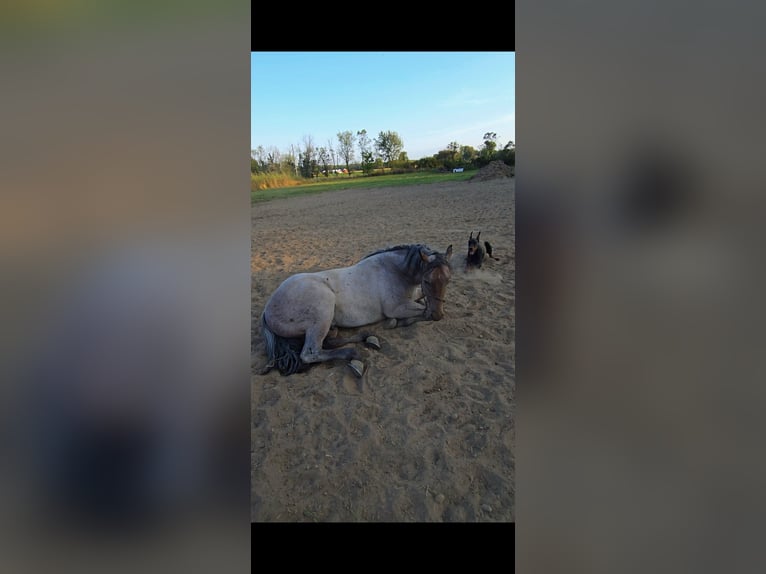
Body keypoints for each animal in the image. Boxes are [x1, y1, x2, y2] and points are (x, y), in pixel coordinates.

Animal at [260, 243, 452, 378]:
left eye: (448, 280)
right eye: (427, 281)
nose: (438, 314)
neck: (395, 271)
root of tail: (267, 310)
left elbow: (423, 307)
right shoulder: (397, 308)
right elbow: (422, 312)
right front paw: (395, 322)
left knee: (329, 342)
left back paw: (369, 339)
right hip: (323, 311)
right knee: (310, 353)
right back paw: (353, 355)